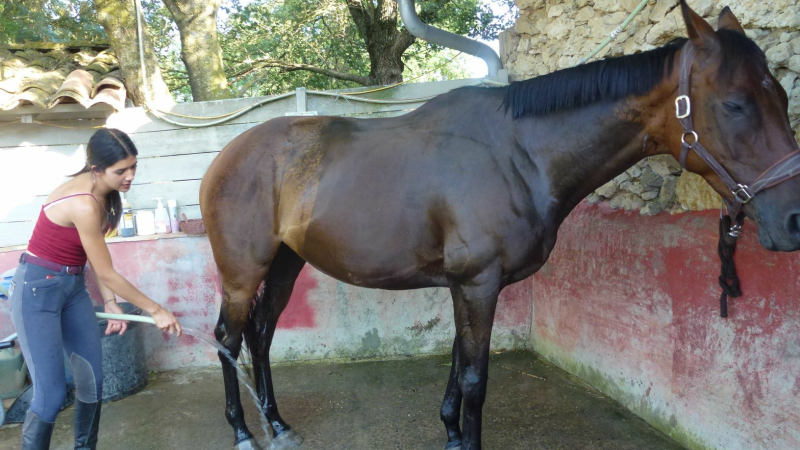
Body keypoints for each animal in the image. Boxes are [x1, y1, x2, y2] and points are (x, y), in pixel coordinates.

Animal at [199, 2, 800, 449]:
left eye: (780, 93)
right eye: (735, 104)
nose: (793, 220)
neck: (519, 155)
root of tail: (226, 155)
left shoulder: (465, 287)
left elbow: (458, 366)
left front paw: (450, 433)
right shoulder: (479, 284)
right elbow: (475, 380)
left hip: (284, 264)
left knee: (261, 335)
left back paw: (277, 423)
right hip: (242, 272)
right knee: (228, 337)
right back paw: (242, 430)